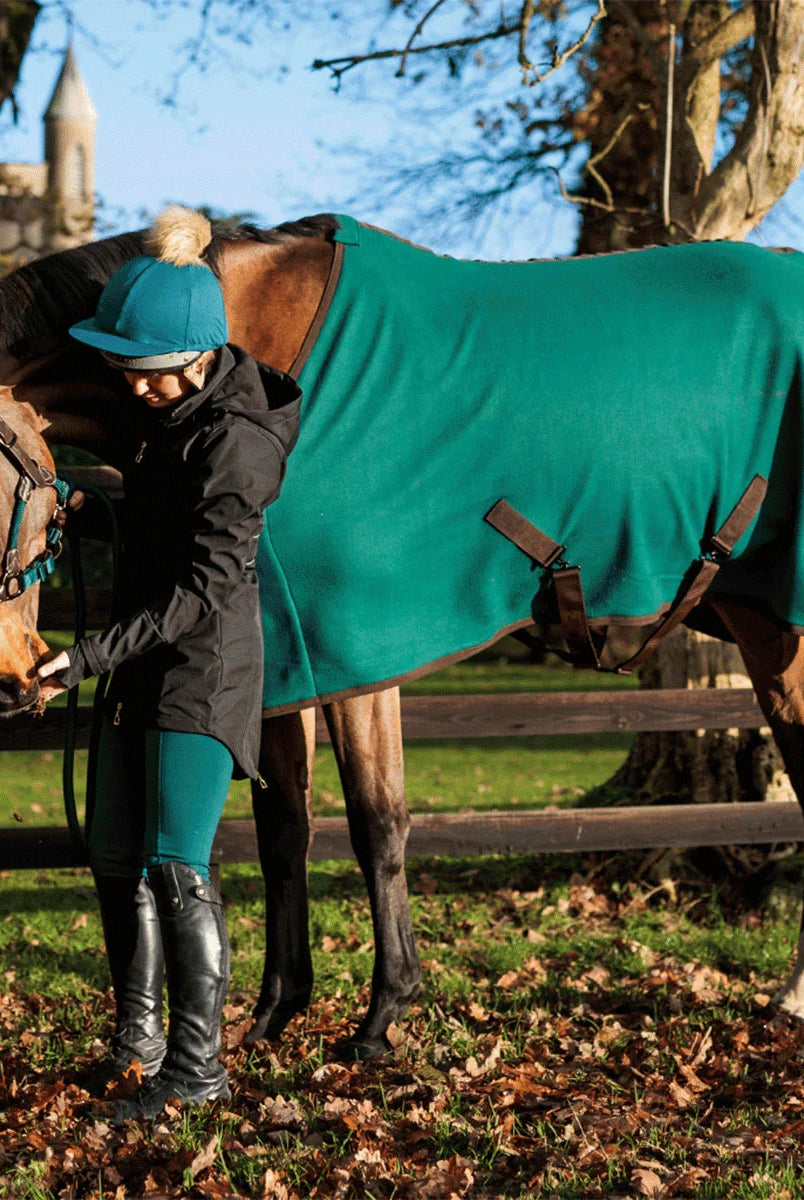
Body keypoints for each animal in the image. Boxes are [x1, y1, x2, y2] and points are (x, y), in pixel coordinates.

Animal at [4, 215, 804, 1060]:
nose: (16, 681)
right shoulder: (288, 657)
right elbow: (284, 830)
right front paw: (277, 1011)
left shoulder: (356, 658)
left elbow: (376, 823)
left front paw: (383, 1015)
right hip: (763, 629)